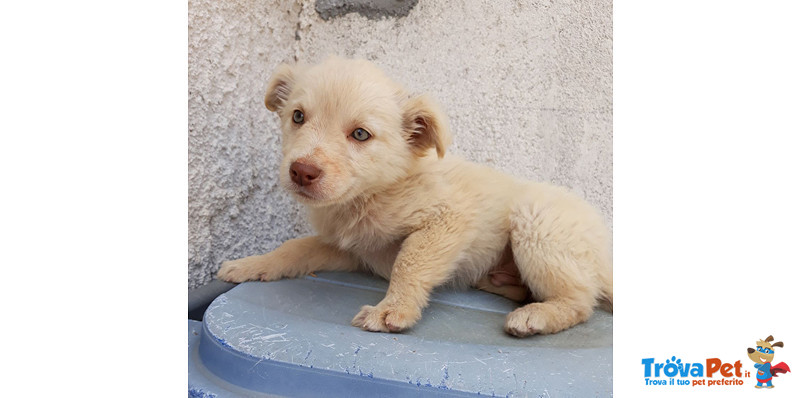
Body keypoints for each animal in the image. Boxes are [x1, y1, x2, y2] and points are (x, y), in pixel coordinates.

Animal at [219, 56, 612, 336]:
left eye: (360, 134)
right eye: (298, 116)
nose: (302, 171)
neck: (371, 195)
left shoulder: (447, 218)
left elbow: (409, 263)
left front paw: (393, 310)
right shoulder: (351, 250)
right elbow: (294, 248)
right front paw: (252, 264)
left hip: (537, 223)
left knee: (582, 301)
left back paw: (536, 316)